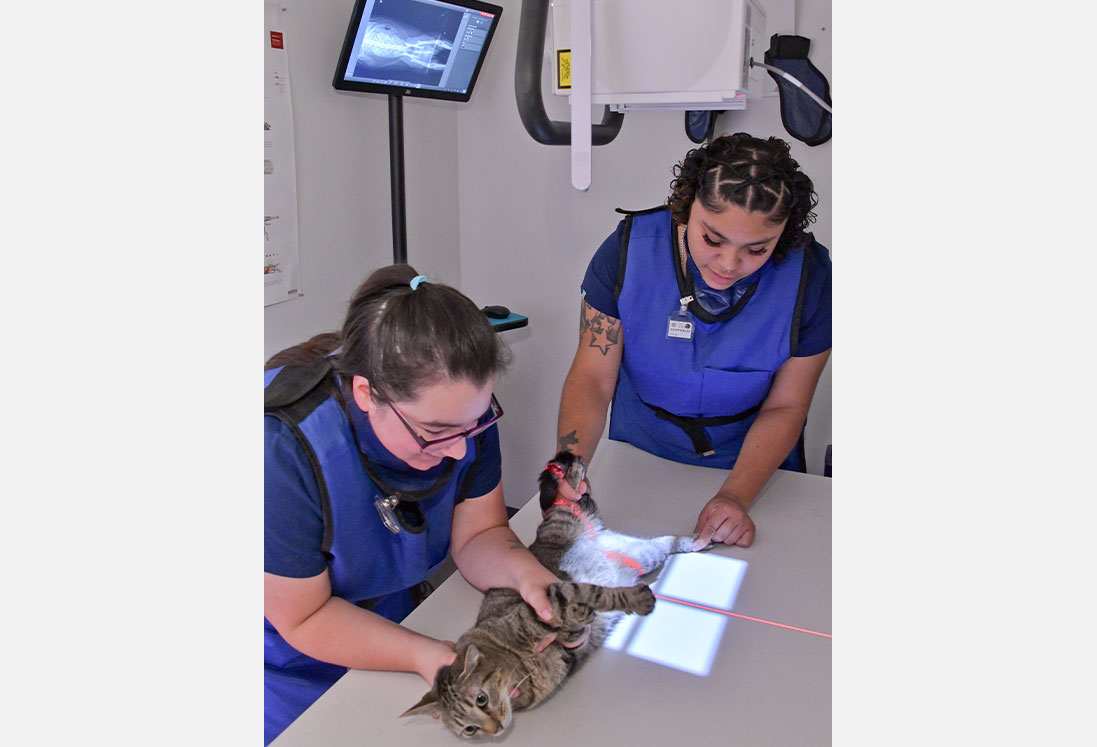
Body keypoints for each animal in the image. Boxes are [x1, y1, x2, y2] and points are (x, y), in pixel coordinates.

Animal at [401, 451, 702, 737]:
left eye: (481, 699)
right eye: (469, 730)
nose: (495, 729)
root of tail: (597, 537)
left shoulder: (551, 598)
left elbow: (595, 596)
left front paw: (630, 601)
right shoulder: (565, 655)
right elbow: (579, 625)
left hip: (564, 520)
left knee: (568, 497)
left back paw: (573, 473)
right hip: (643, 555)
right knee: (664, 541)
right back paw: (694, 541)